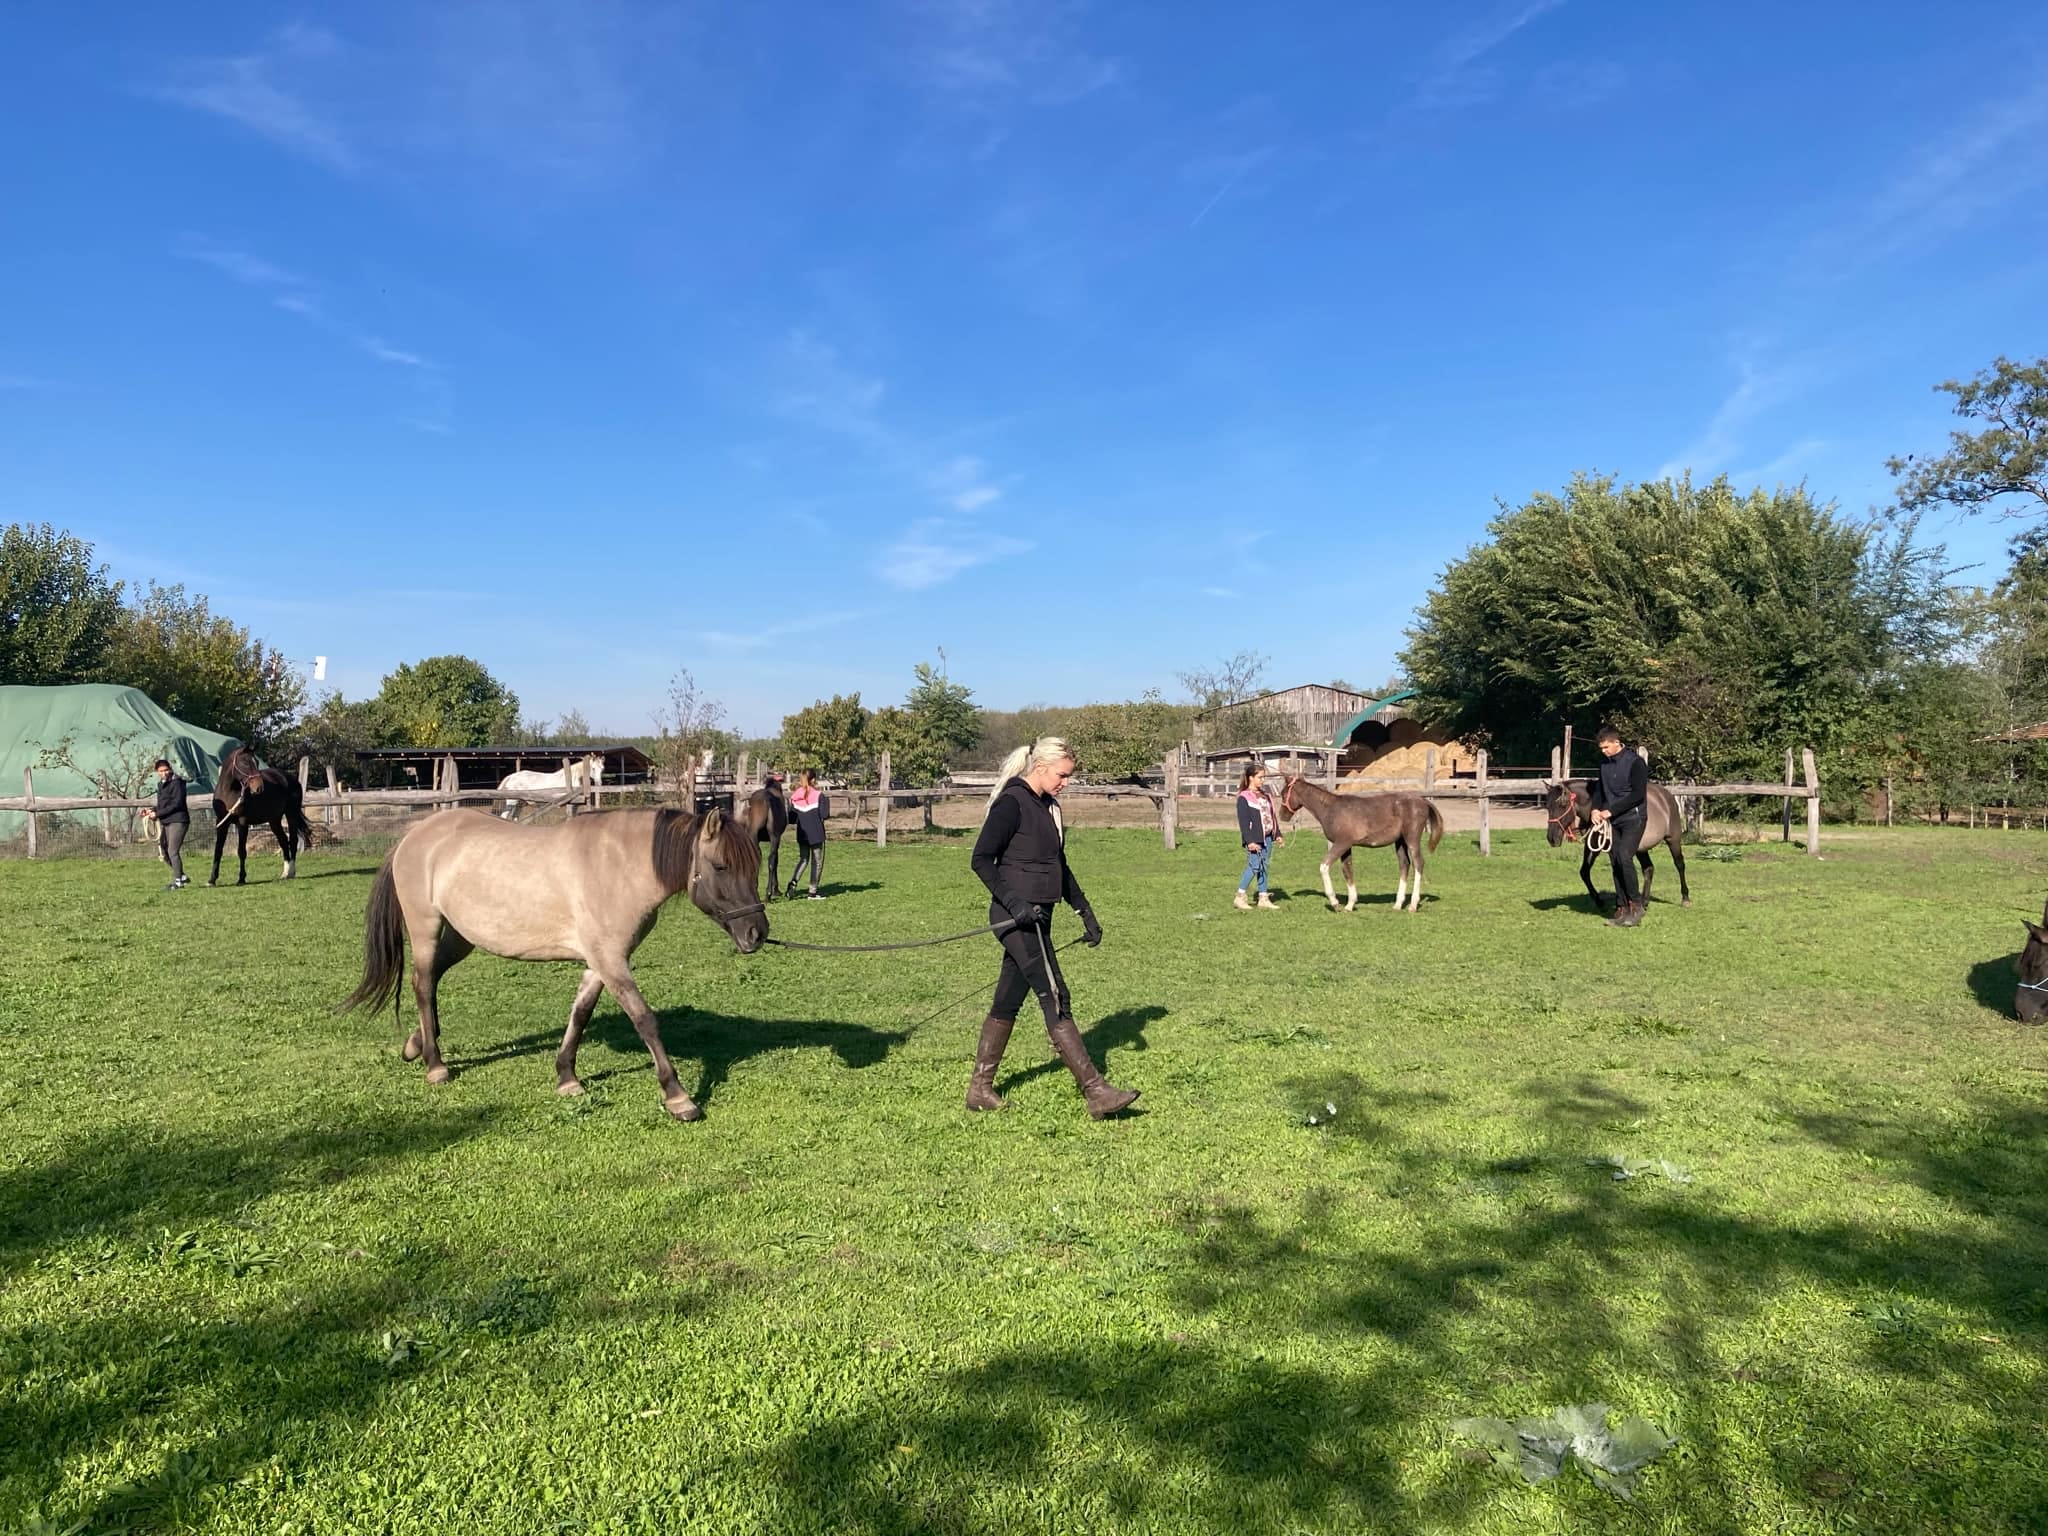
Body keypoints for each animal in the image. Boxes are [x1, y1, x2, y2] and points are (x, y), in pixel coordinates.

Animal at [214, 749, 317, 888]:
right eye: (245, 763)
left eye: (256, 762)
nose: (259, 787)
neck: (229, 792)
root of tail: (291, 779)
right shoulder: (221, 822)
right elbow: (218, 850)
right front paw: (212, 880)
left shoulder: (243, 822)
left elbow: (241, 851)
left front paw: (241, 879)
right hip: (274, 820)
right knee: (283, 840)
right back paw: (284, 873)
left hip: (291, 814)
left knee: (293, 841)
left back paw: (291, 872)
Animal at [344, 806, 770, 1122]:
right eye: (721, 866)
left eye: (755, 866)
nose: (757, 933)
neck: (617, 867)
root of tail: (414, 834)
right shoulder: (611, 961)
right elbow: (644, 1020)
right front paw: (678, 1097)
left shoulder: (601, 961)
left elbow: (579, 1014)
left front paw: (567, 1077)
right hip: (426, 929)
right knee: (422, 983)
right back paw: (435, 1064)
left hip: (462, 937)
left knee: (431, 980)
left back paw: (417, 1044)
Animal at [745, 770, 790, 901]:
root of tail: (767, 800)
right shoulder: (777, 838)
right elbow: (776, 860)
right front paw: (776, 889)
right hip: (774, 836)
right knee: (772, 860)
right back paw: (769, 894)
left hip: (753, 836)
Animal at [1277, 782, 1441, 913]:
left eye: (1284, 793)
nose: (1281, 816)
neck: (1331, 809)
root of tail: (1423, 800)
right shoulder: (1347, 846)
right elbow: (1347, 870)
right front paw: (1349, 905)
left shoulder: (1342, 843)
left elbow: (1324, 867)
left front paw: (1335, 903)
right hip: (1400, 841)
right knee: (1404, 864)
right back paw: (1398, 904)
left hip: (1412, 839)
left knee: (1418, 863)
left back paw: (1412, 905)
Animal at [1540, 782, 1687, 913]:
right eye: (1547, 806)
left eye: (1563, 805)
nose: (1551, 838)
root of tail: (1666, 795)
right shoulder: (1593, 846)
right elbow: (1584, 872)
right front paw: (1600, 902)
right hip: (1641, 848)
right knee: (1648, 869)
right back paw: (1644, 902)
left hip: (1673, 839)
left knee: (1679, 864)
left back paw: (1685, 898)